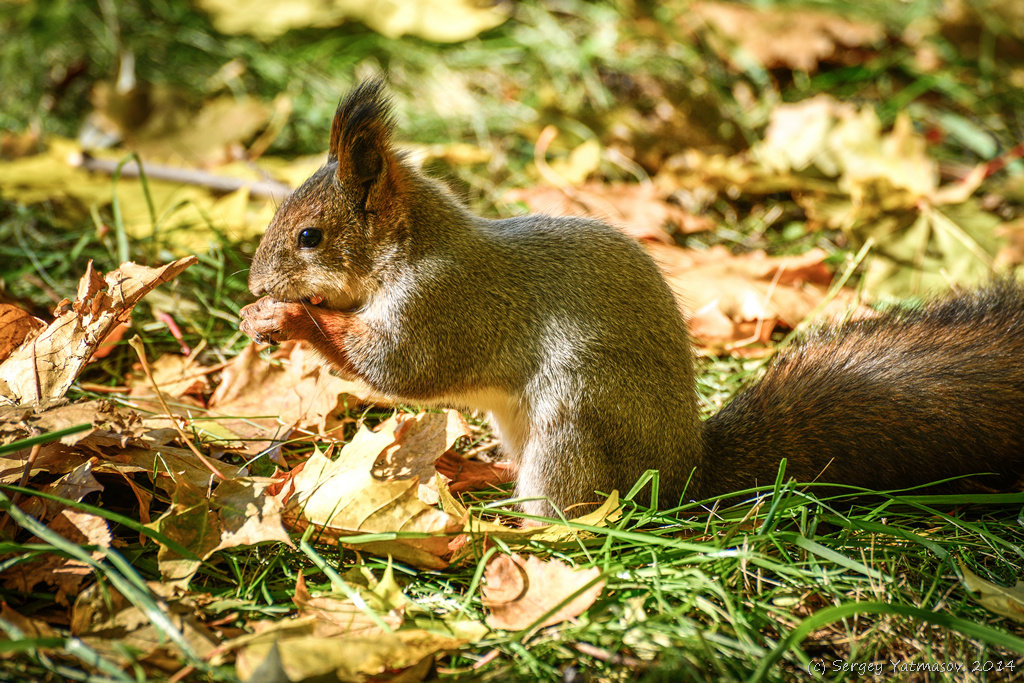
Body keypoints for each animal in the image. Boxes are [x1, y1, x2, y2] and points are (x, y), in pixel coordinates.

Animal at [241, 80, 1024, 516]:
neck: (412, 249)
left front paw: (290, 316)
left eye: (309, 236)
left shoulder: (444, 305)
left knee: (575, 513)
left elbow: (401, 370)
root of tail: (683, 476)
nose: (253, 284)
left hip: (576, 420)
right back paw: (476, 470)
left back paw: (509, 524)